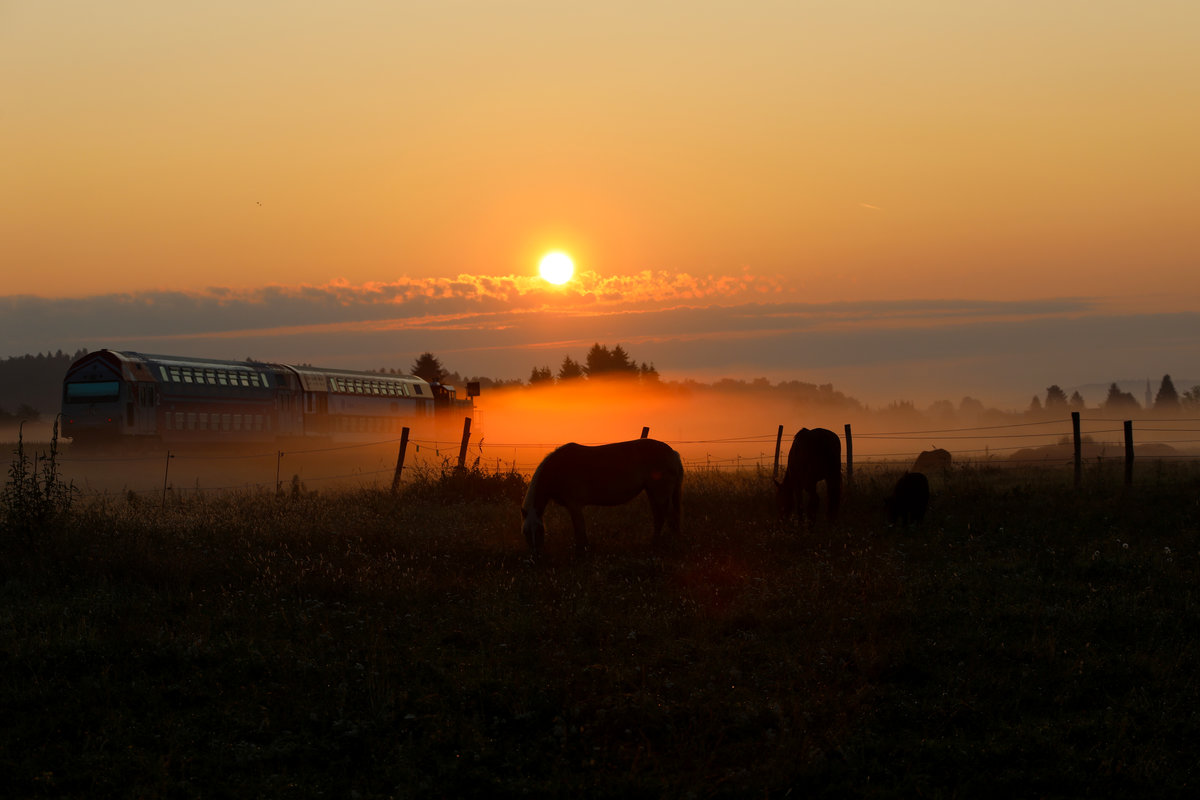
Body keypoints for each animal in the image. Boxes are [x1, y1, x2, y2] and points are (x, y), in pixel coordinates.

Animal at [518, 438, 681, 556]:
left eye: (540, 530)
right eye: (525, 532)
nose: (536, 556)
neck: (557, 468)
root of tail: (672, 453)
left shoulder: (574, 505)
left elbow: (579, 529)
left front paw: (582, 551)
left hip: (659, 493)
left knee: (667, 518)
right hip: (653, 493)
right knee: (661, 517)